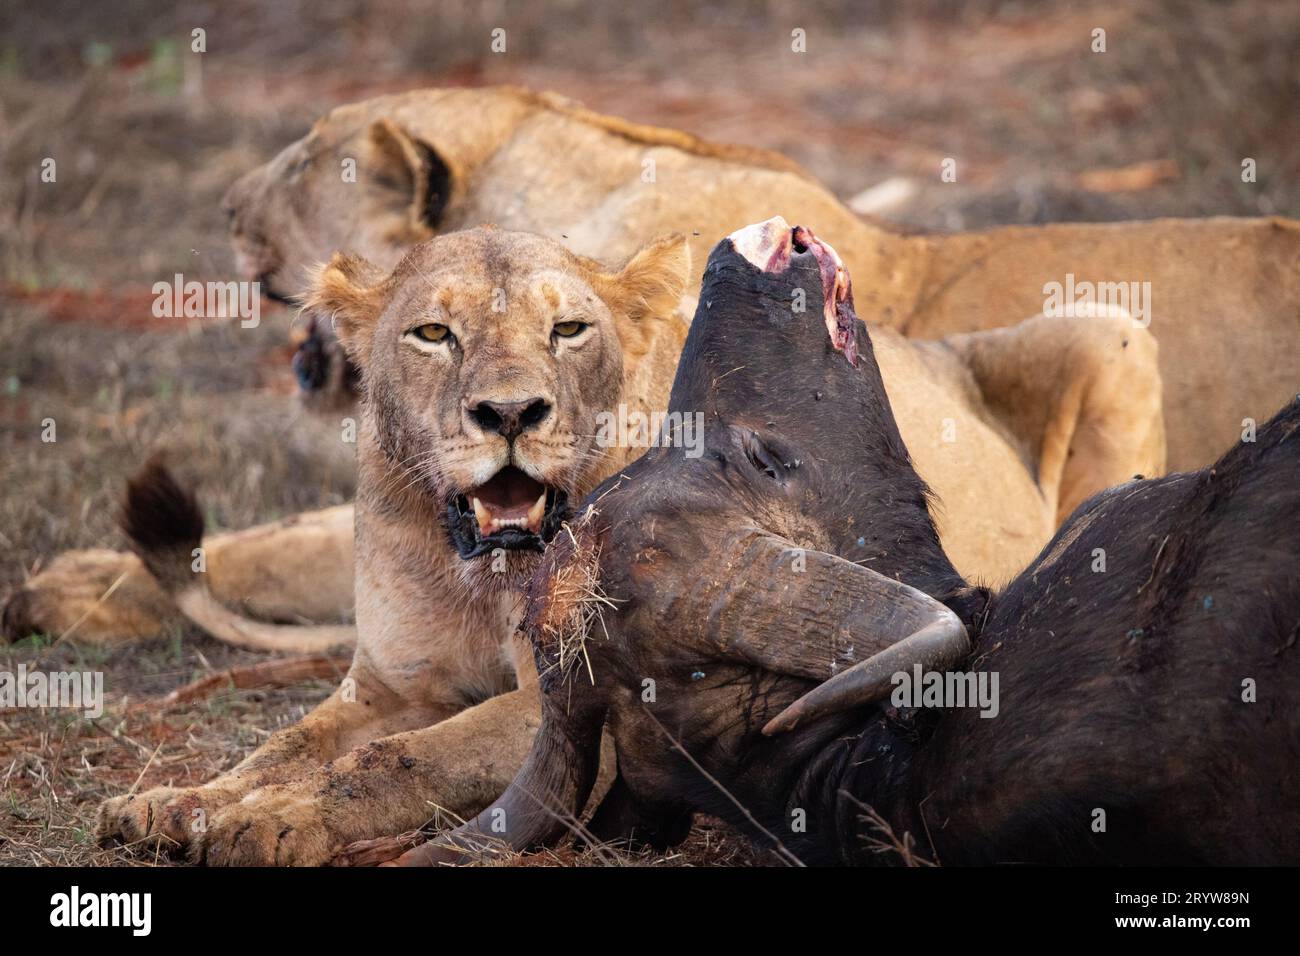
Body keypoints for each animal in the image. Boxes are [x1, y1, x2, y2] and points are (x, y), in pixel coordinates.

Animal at [86, 223, 1163, 865]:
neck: (477, 566)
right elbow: (289, 742)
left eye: (568, 328)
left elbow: (396, 761)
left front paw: (272, 821)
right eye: (433, 333)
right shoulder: (386, 685)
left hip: (1105, 331)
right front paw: (182, 803)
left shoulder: (552, 696)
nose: (509, 412)